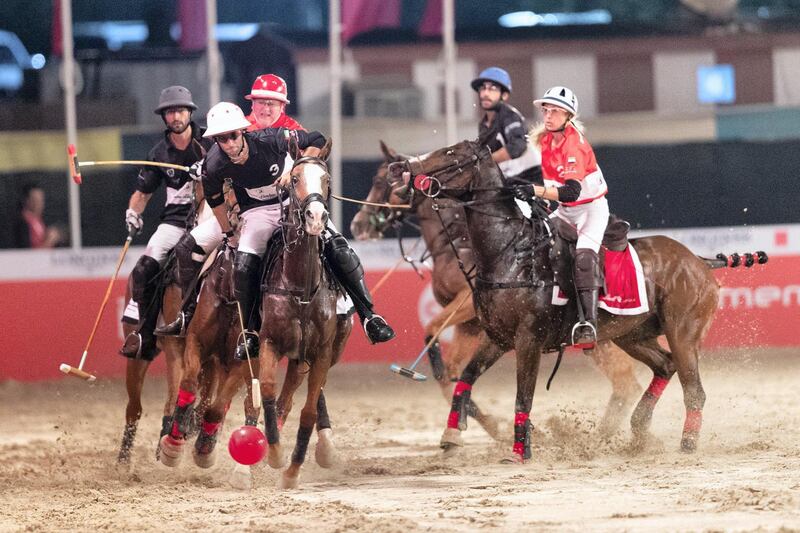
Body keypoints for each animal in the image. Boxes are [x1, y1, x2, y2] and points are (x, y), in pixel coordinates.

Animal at [354, 141, 640, 436]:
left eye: (380, 181)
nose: (358, 224)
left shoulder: (465, 305)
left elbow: (433, 334)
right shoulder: (472, 326)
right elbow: (453, 372)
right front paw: (482, 426)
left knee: (626, 380)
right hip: (601, 341)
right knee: (627, 382)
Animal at [388, 139, 744, 460]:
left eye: (450, 153)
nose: (399, 168)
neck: (510, 254)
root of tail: (700, 260)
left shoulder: (528, 339)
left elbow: (523, 396)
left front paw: (520, 451)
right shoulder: (497, 337)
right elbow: (465, 379)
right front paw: (450, 435)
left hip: (683, 333)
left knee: (693, 390)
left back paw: (686, 443)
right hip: (632, 334)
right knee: (664, 366)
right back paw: (637, 431)